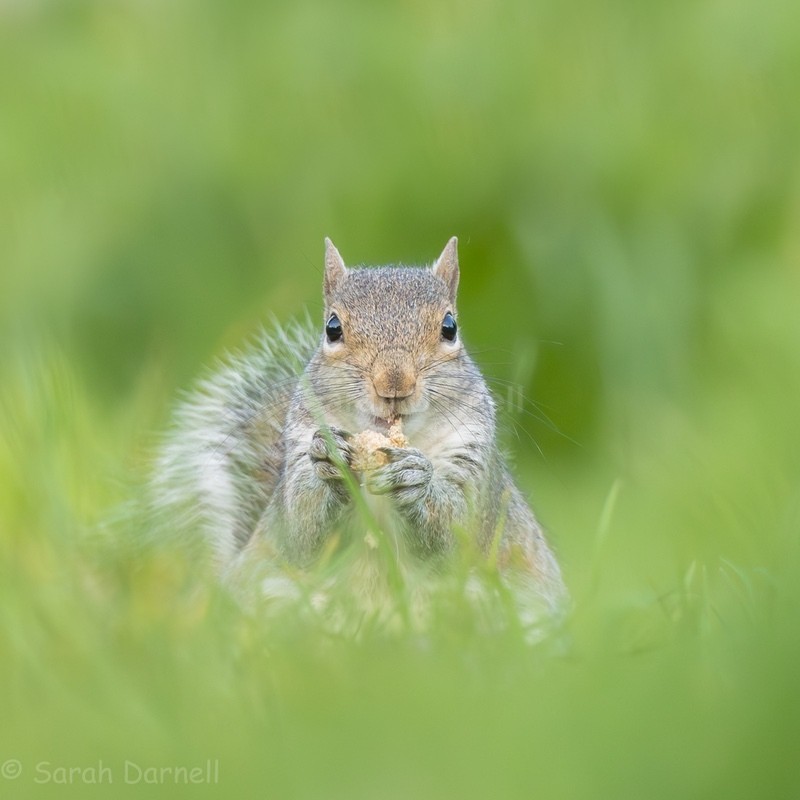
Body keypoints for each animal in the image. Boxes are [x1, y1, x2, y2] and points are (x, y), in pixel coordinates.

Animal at [154, 238, 567, 614]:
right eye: (332, 328)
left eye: (449, 327)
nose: (394, 383)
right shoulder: (300, 444)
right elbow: (302, 530)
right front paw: (332, 462)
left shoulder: (473, 462)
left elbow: (457, 531)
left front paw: (416, 479)